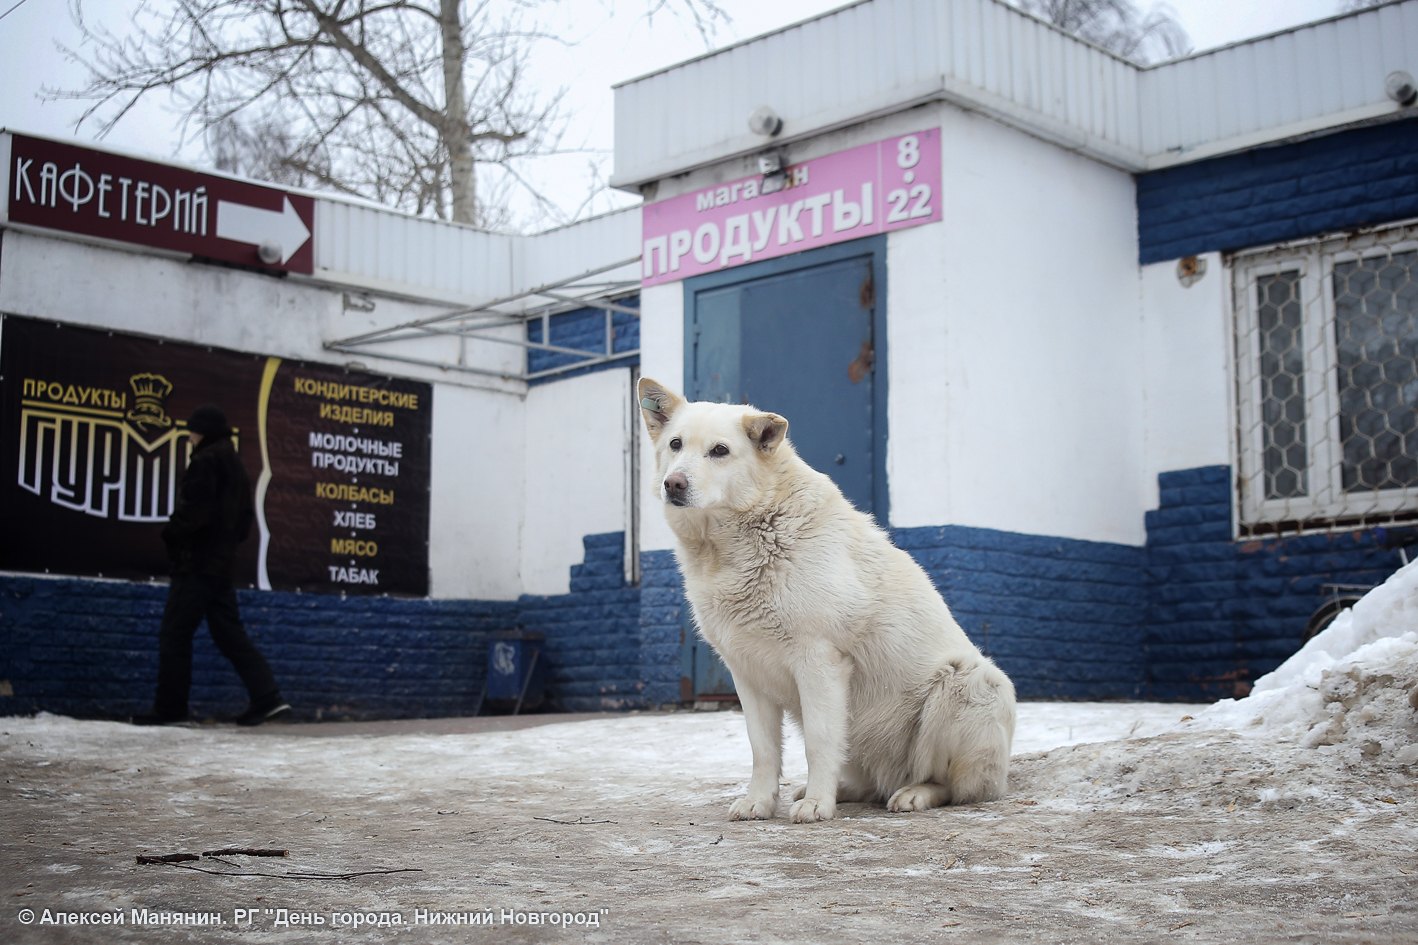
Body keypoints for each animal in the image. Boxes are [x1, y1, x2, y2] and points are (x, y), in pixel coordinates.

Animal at [643, 380, 1020, 822]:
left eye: (719, 450)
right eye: (675, 444)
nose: (674, 484)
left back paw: (913, 794)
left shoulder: (819, 662)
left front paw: (817, 805)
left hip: (969, 680)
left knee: (951, 784)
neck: (740, 542)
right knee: (871, 782)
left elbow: (819, 742)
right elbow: (762, 748)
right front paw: (760, 802)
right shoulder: (746, 673)